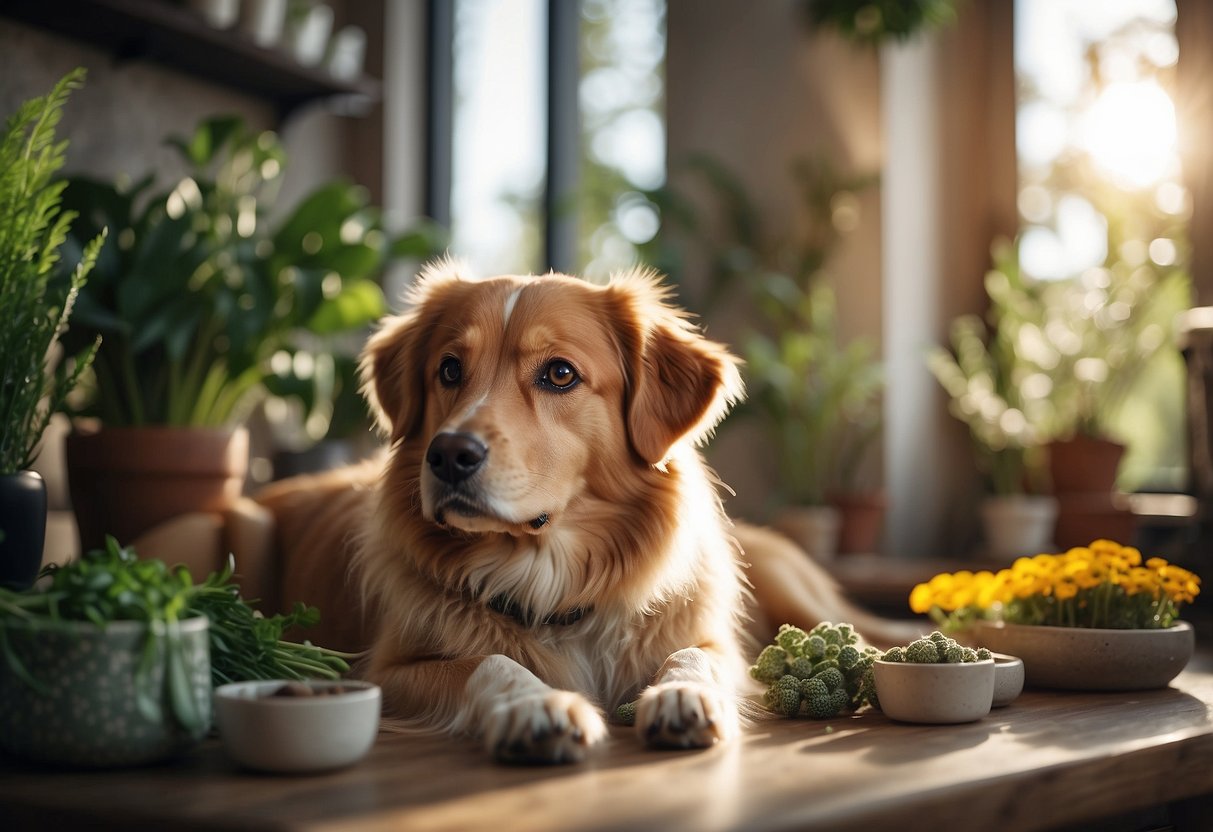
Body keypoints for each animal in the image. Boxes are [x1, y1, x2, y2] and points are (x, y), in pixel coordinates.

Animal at [263, 264, 912, 766]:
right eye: (449, 369)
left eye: (559, 373)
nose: (447, 455)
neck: (553, 579)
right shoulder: (387, 670)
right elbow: (488, 661)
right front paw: (534, 703)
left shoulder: (719, 644)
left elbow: (692, 654)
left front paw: (682, 695)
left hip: (797, 593)